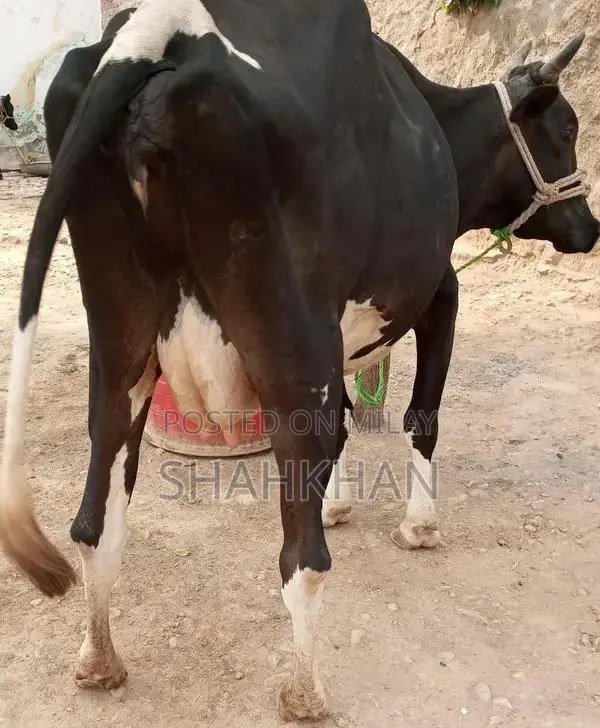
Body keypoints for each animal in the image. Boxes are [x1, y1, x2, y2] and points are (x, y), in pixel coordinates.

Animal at [0, 0, 460, 720]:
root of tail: (160, 27)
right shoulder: (440, 289)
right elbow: (419, 416)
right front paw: (417, 526)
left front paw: (346, 502)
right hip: (294, 349)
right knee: (302, 558)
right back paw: (304, 693)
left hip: (119, 343)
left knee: (94, 521)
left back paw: (99, 661)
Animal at [321, 34, 599, 548]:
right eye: (568, 129)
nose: (591, 227)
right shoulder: (440, 296)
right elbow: (412, 416)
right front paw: (416, 522)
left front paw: (337, 504)